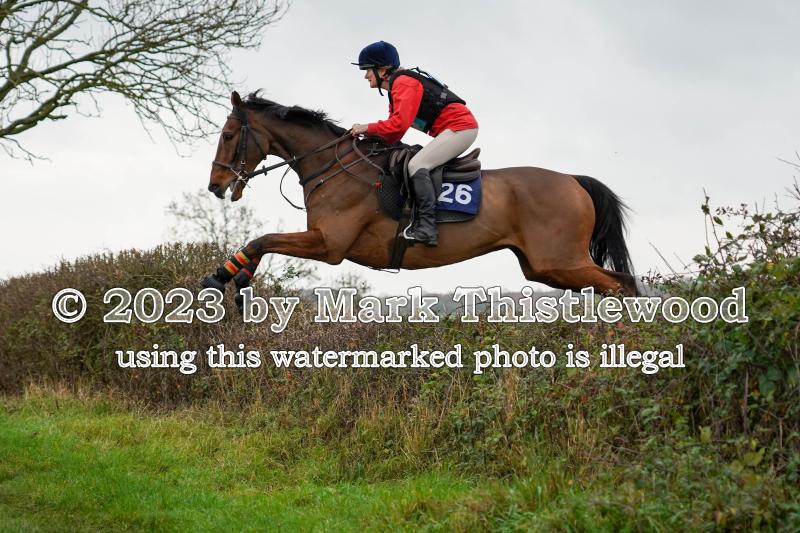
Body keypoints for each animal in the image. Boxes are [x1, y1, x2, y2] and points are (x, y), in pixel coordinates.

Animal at [203, 91, 638, 297]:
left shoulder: (328, 244)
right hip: (544, 267)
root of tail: (572, 180)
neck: (331, 166)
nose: (215, 185)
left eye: (228, 135)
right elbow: (262, 243)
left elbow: (262, 239)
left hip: (560, 260)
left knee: (621, 285)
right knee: (617, 286)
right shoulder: (321, 241)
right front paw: (239, 285)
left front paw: (218, 279)